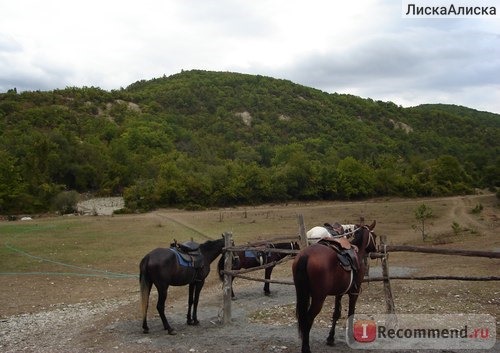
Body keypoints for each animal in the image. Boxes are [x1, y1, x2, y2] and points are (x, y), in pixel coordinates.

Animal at [292, 221, 376, 350]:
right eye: (375, 236)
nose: (376, 250)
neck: (358, 253)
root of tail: (306, 255)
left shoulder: (339, 293)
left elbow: (336, 313)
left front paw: (330, 338)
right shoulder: (354, 293)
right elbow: (351, 312)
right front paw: (351, 338)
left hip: (302, 294)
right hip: (318, 298)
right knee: (308, 319)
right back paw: (306, 348)